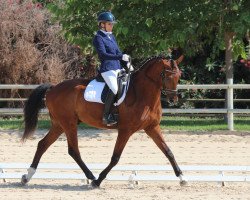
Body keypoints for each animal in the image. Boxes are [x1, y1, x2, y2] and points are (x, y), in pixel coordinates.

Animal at [21, 54, 188, 186]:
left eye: (179, 75)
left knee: (43, 144)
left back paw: (27, 176)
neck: (143, 94)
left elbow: (168, 152)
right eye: (167, 75)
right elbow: (115, 157)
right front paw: (99, 180)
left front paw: (182, 177)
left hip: (59, 125)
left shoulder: (152, 127)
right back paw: (91, 176)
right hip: (68, 124)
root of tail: (53, 88)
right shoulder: (125, 130)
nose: (173, 99)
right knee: (73, 150)